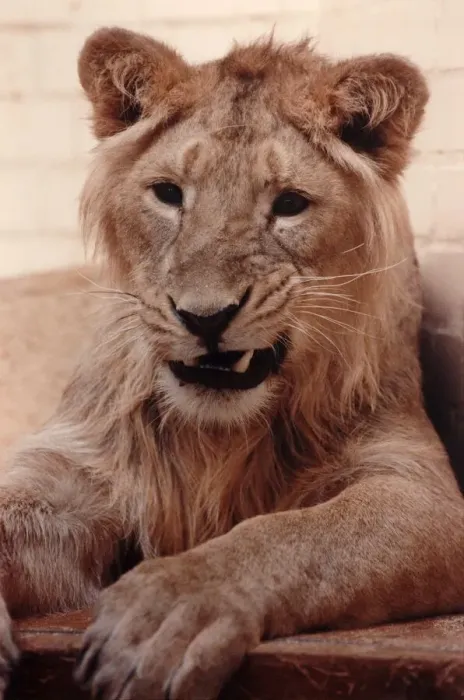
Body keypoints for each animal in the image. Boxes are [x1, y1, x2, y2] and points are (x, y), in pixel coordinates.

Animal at [0, 27, 463, 700]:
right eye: (169, 194)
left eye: (290, 204)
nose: (205, 317)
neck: (218, 438)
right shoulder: (71, 476)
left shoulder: (420, 489)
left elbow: (293, 533)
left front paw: (173, 605)